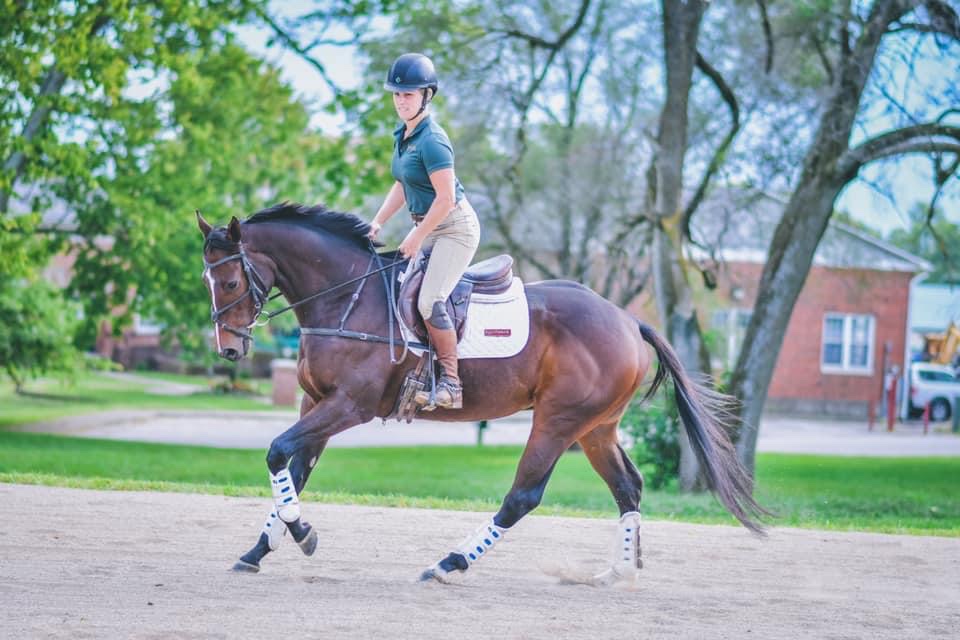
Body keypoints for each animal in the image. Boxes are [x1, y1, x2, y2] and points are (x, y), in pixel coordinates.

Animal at [197, 202, 764, 584]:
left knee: (523, 496)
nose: (230, 349)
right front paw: (263, 546)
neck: (346, 296)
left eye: (230, 283)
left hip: (559, 420)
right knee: (628, 487)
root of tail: (627, 319)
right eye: (207, 281)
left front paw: (301, 533)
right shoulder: (315, 403)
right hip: (597, 427)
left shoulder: (348, 406)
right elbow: (293, 471)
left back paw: (450, 562)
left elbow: (278, 453)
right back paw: (620, 572)